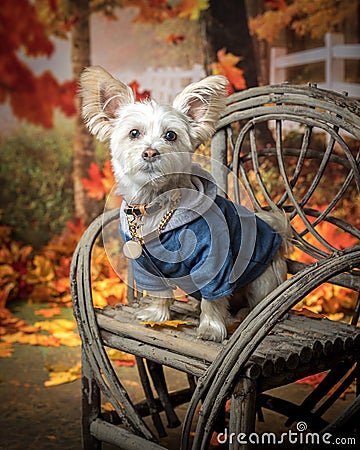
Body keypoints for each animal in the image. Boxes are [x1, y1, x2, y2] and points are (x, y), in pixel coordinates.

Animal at [80, 66, 292, 342]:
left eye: (170, 135)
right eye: (134, 133)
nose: (150, 152)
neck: (154, 206)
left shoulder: (213, 260)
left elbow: (213, 298)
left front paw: (211, 328)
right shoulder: (146, 265)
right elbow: (159, 292)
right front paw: (157, 315)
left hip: (262, 281)